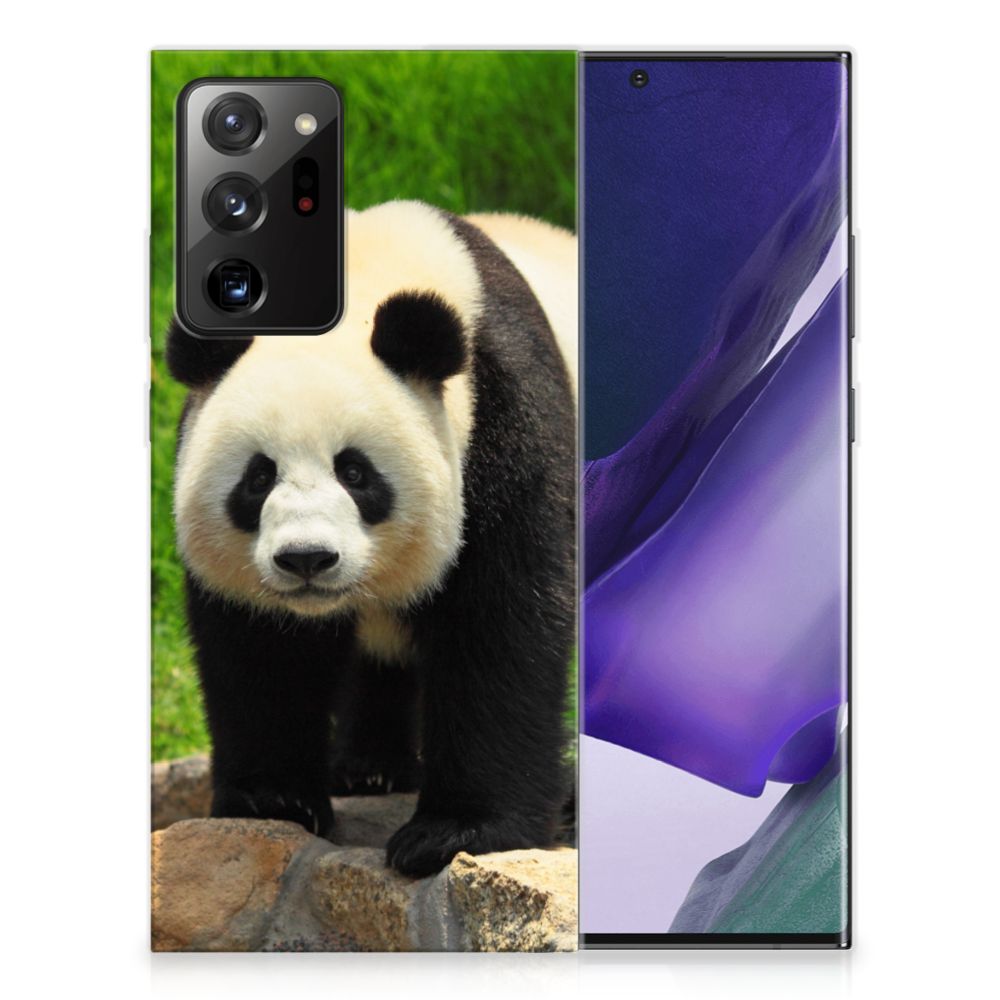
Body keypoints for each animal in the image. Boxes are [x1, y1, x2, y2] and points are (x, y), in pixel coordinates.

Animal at [166, 200, 577, 877]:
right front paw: (273, 800)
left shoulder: (506, 423)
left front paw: (454, 832)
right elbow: (262, 649)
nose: (306, 559)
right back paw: (369, 769)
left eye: (355, 473)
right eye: (258, 477)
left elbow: (502, 625)